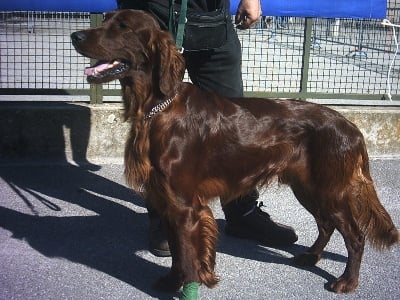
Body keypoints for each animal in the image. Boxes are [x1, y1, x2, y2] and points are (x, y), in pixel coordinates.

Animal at [72, 9, 400, 296]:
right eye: (108, 19)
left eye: (123, 26)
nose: (76, 36)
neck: (157, 108)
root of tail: (352, 128)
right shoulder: (168, 200)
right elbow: (177, 251)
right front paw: (173, 282)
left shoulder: (184, 205)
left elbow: (188, 256)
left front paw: (187, 285)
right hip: (308, 188)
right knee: (326, 225)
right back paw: (311, 256)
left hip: (330, 189)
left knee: (355, 236)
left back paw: (346, 281)